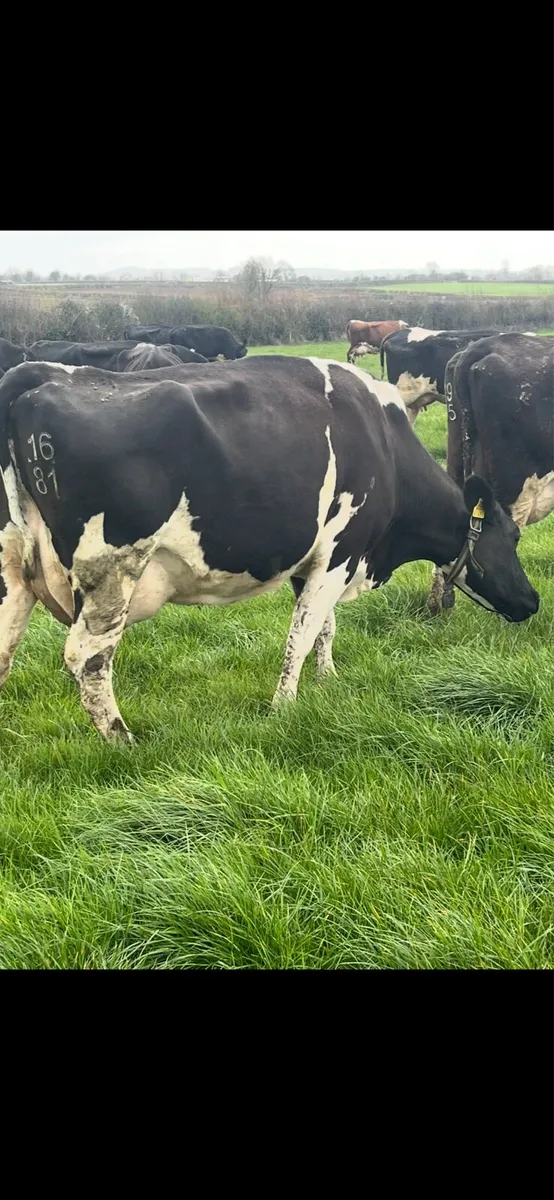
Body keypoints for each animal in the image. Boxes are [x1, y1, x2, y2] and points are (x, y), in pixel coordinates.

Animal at [0, 355, 538, 742]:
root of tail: (34, 375)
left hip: (12, 572)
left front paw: (328, 680)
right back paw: (122, 741)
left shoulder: (319, 559)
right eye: (511, 537)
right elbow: (303, 633)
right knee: (88, 657)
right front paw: (285, 707)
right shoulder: (343, 549)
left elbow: (323, 627)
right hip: (113, 569)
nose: (531, 601)